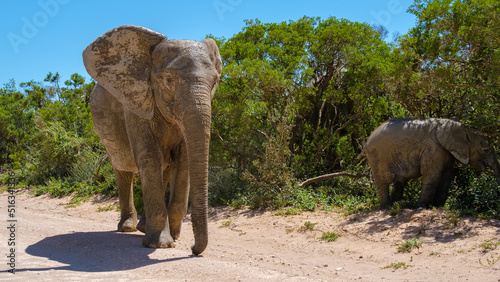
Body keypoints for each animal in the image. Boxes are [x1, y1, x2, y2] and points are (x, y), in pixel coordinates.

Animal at [83, 24, 222, 256]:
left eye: (215, 82)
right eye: (168, 80)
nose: (193, 249)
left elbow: (184, 161)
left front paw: (174, 237)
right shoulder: (136, 104)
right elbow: (149, 157)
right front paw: (161, 244)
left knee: (163, 168)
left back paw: (143, 227)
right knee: (123, 169)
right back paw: (128, 228)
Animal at [362, 117, 500, 207]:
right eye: (486, 150)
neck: (465, 129)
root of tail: (367, 141)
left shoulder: (445, 151)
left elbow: (447, 176)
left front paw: (439, 206)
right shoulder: (433, 148)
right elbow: (431, 174)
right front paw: (421, 207)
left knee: (400, 181)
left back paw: (397, 204)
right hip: (377, 154)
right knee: (383, 180)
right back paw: (387, 207)